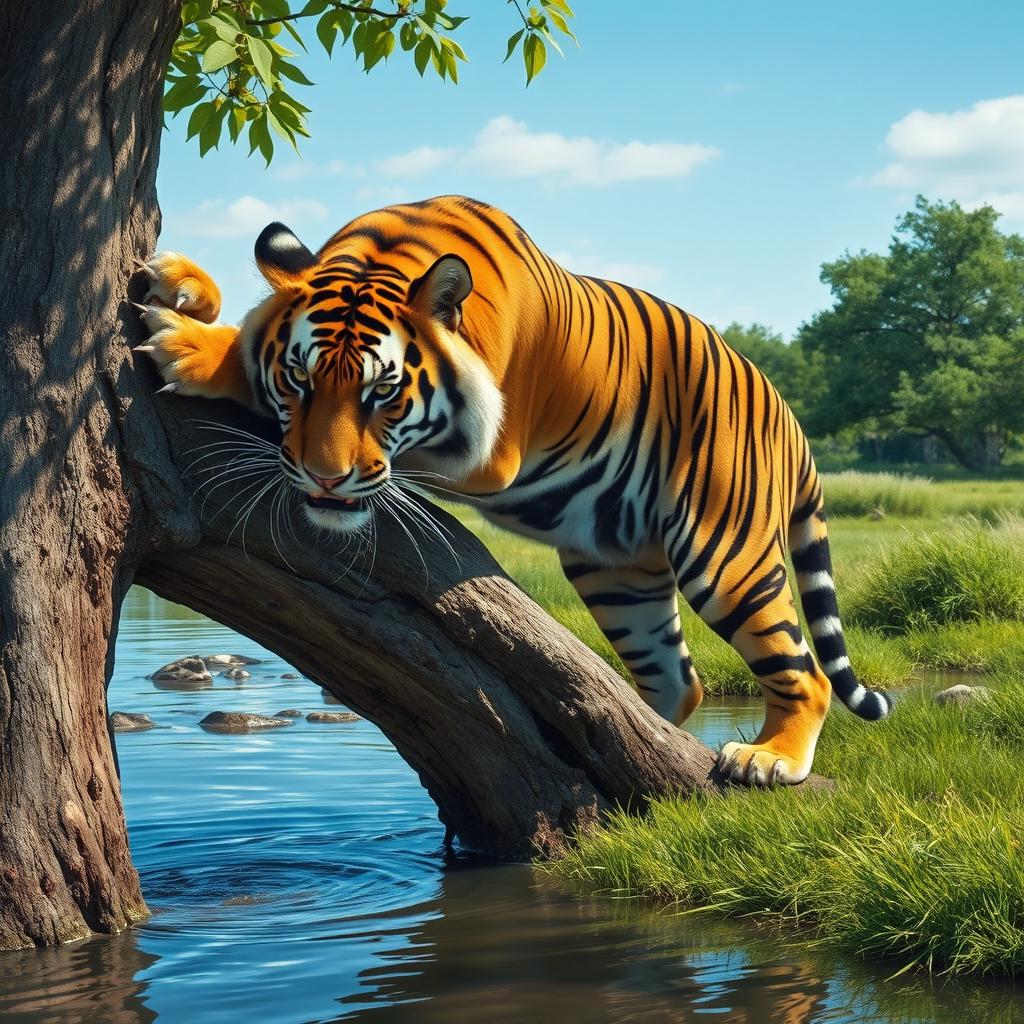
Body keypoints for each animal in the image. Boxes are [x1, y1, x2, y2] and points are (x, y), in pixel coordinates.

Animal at [133, 194, 890, 785]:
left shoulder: (490, 452)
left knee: (805, 670)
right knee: (679, 679)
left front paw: (194, 347)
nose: (324, 477)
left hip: (725, 554)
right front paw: (181, 285)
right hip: (618, 573)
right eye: (299, 379)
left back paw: (770, 758)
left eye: (382, 393)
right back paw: (635, 732)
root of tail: (790, 420)